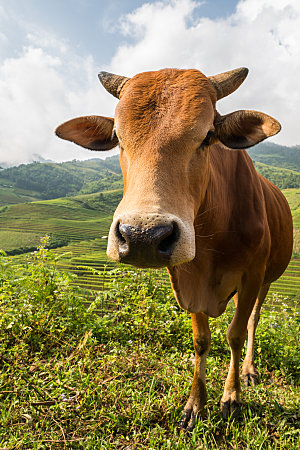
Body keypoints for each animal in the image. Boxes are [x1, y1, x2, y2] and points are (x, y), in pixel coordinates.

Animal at [56, 66, 292, 428]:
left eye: (208, 136)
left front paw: (231, 397)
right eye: (118, 137)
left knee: (253, 320)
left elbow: (236, 334)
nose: (142, 236)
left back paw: (250, 370)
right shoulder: (187, 279)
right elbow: (201, 340)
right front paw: (195, 403)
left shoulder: (252, 275)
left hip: (267, 278)